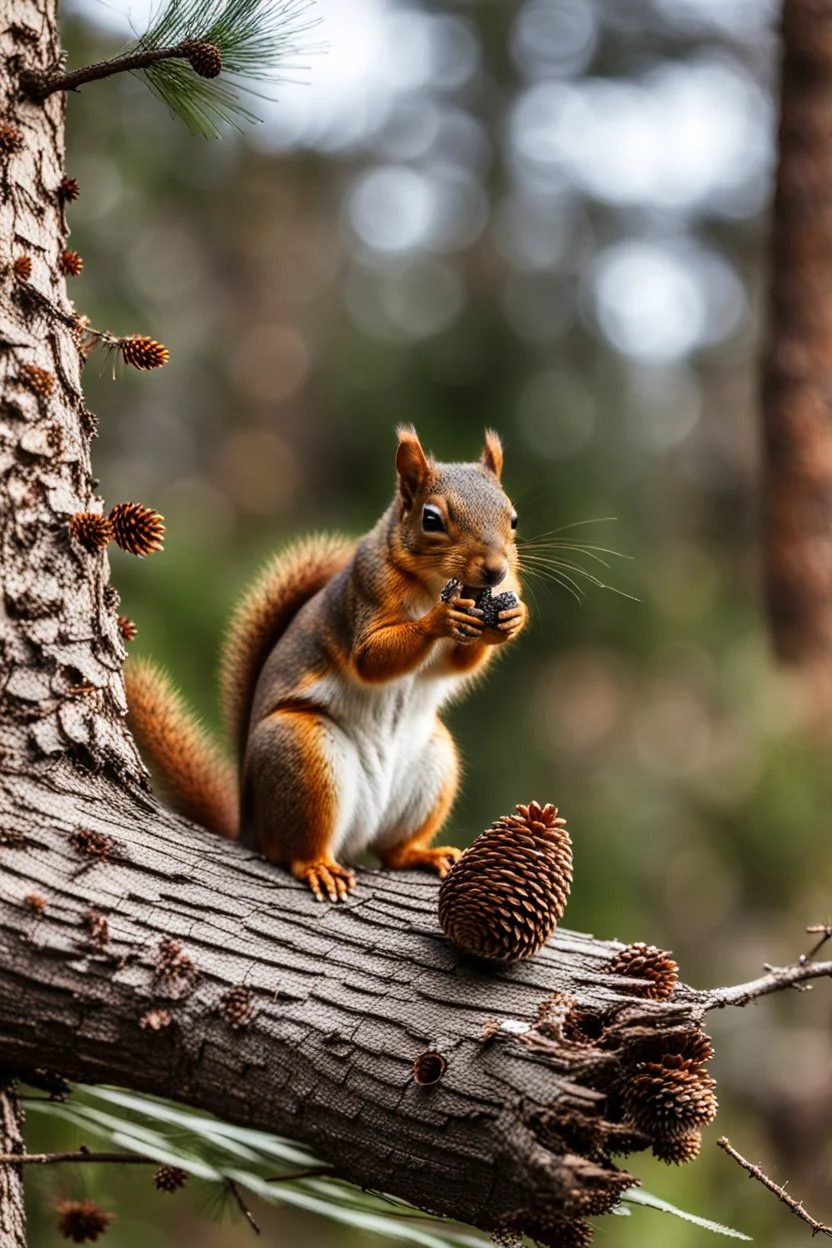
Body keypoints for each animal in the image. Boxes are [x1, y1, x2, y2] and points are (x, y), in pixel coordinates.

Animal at [123, 426, 526, 898]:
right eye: (431, 520)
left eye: (513, 519)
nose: (496, 571)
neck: (436, 585)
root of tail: (250, 825)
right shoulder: (366, 592)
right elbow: (371, 658)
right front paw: (439, 619)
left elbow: (459, 665)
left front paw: (512, 618)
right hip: (302, 754)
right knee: (292, 849)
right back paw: (316, 865)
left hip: (433, 765)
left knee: (392, 851)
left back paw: (422, 854)